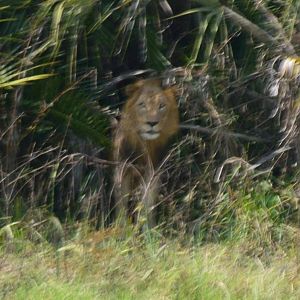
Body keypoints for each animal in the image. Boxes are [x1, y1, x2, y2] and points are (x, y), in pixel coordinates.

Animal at [112, 78, 178, 229]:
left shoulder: (153, 172)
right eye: (142, 105)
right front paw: (121, 228)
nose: (152, 123)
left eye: (161, 106)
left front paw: (148, 229)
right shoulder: (122, 169)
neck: (145, 144)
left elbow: (147, 203)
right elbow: (121, 202)